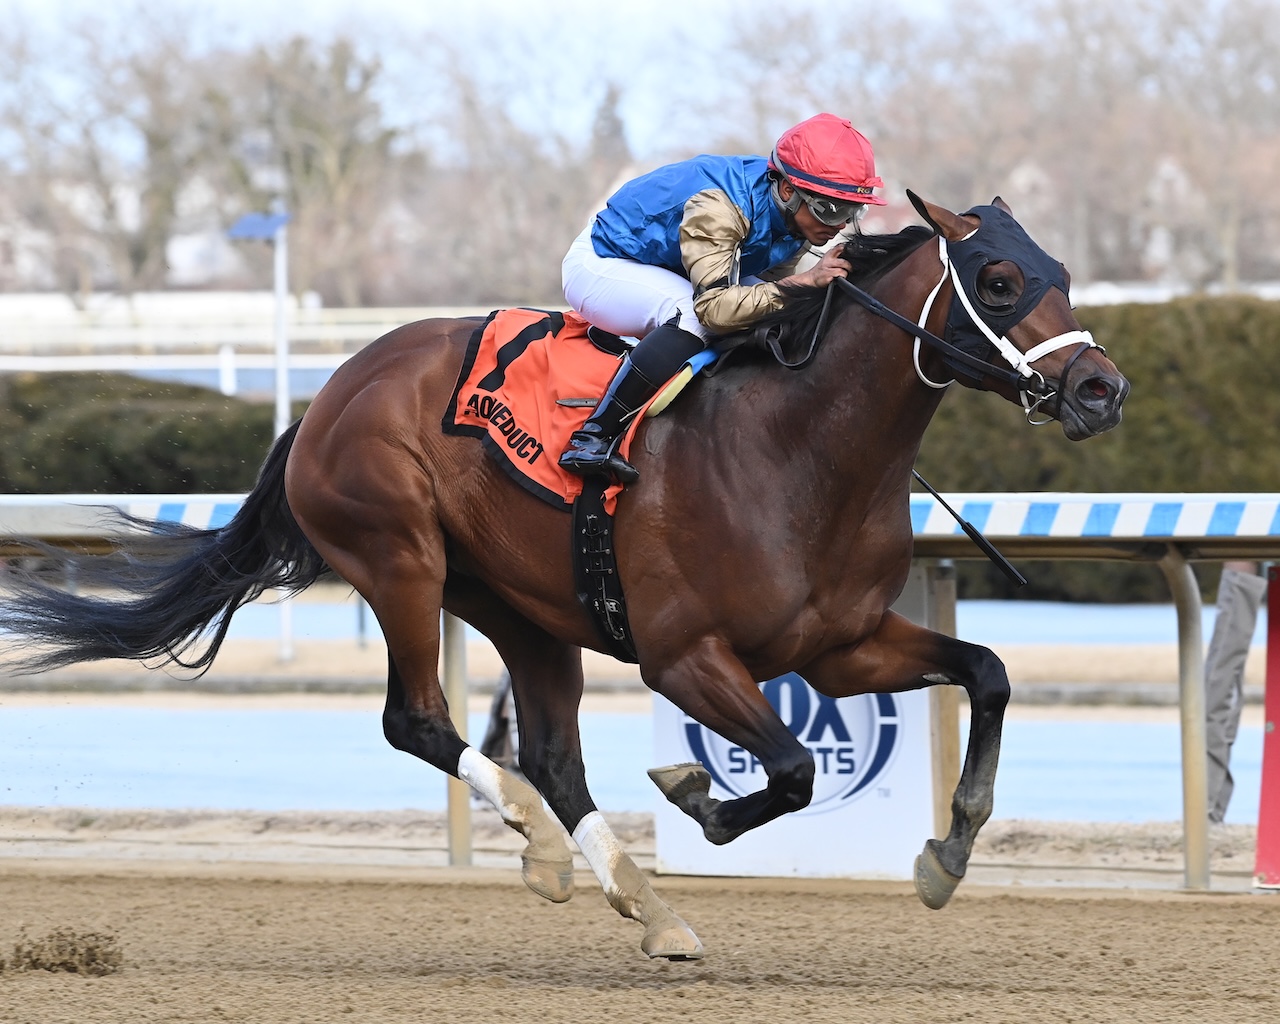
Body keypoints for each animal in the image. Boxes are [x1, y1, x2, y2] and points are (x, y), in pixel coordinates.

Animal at [0, 194, 1126, 962]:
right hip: (400, 558)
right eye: (996, 280)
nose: (1099, 389)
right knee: (419, 720)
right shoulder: (685, 656)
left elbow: (985, 673)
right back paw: (540, 844)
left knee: (549, 754)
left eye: (1063, 270)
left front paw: (947, 853)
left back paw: (645, 904)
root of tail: (330, 393)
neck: (797, 452)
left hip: (522, 609)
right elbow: (793, 768)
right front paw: (700, 795)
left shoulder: (837, 648)